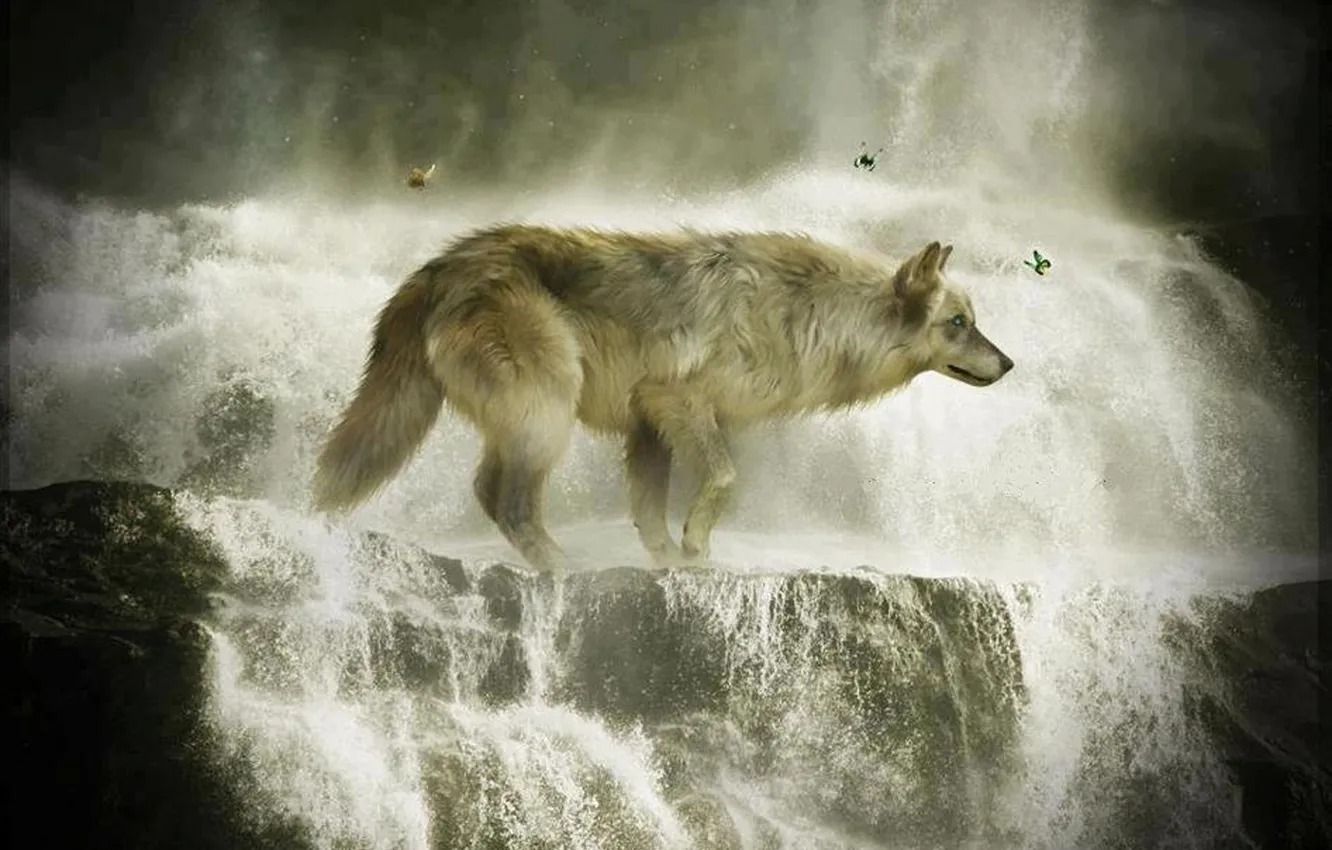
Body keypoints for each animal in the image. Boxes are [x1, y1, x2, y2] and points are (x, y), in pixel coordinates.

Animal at [312, 224, 1014, 571]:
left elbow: (648, 507)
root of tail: (438, 267)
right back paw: (564, 568)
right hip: (548, 414)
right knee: (504, 498)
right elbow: (724, 479)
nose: (1009, 363)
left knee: (491, 490)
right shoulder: (679, 400)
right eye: (959, 323)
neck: (805, 313)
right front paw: (697, 548)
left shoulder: (647, 421)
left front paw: (669, 561)